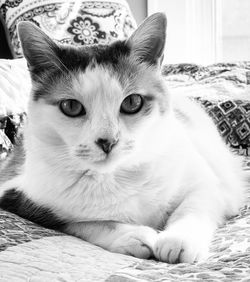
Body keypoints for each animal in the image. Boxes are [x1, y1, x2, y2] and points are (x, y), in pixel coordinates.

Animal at [0, 12, 244, 264]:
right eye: (71, 106)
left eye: (132, 102)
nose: (107, 141)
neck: (117, 176)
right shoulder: (17, 195)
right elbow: (86, 223)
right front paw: (132, 235)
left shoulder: (212, 182)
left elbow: (194, 205)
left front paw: (179, 240)